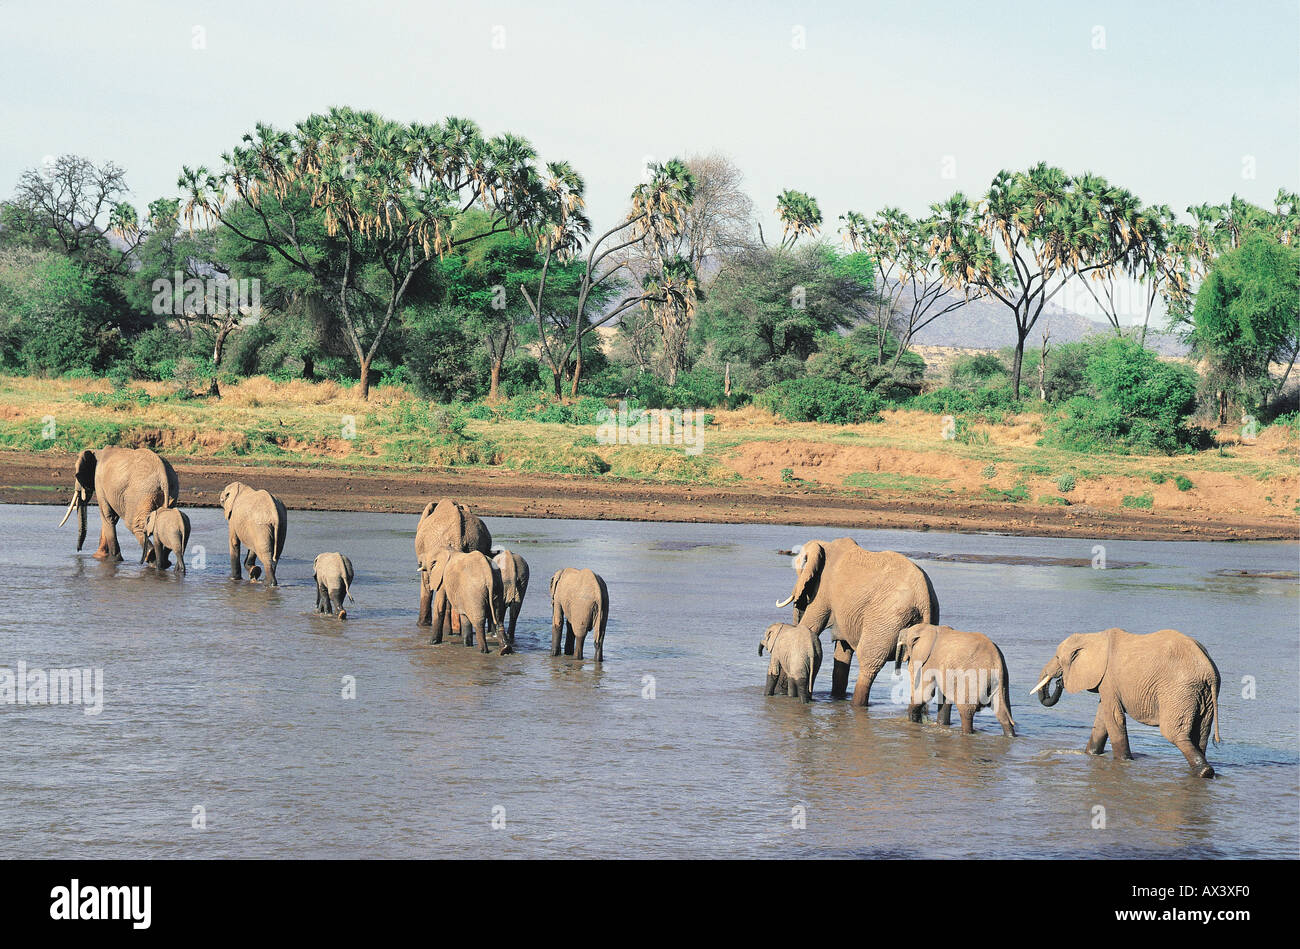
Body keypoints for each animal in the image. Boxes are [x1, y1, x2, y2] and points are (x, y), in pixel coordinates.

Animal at [774, 535, 941, 707]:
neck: (825, 546)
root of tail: (924, 598)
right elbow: (843, 651)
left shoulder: (822, 591)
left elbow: (810, 626)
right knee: (918, 670)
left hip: (886, 619)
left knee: (868, 662)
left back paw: (856, 704)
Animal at [1029, 624, 1222, 774]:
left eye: (1057, 657)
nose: (1059, 682)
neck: (1093, 637)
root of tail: (1209, 671)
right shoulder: (1106, 682)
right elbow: (1102, 720)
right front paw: (1091, 755)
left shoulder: (1108, 678)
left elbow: (1113, 717)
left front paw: (1124, 761)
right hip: (1203, 696)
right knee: (1200, 735)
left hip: (1179, 691)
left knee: (1174, 733)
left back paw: (1204, 771)